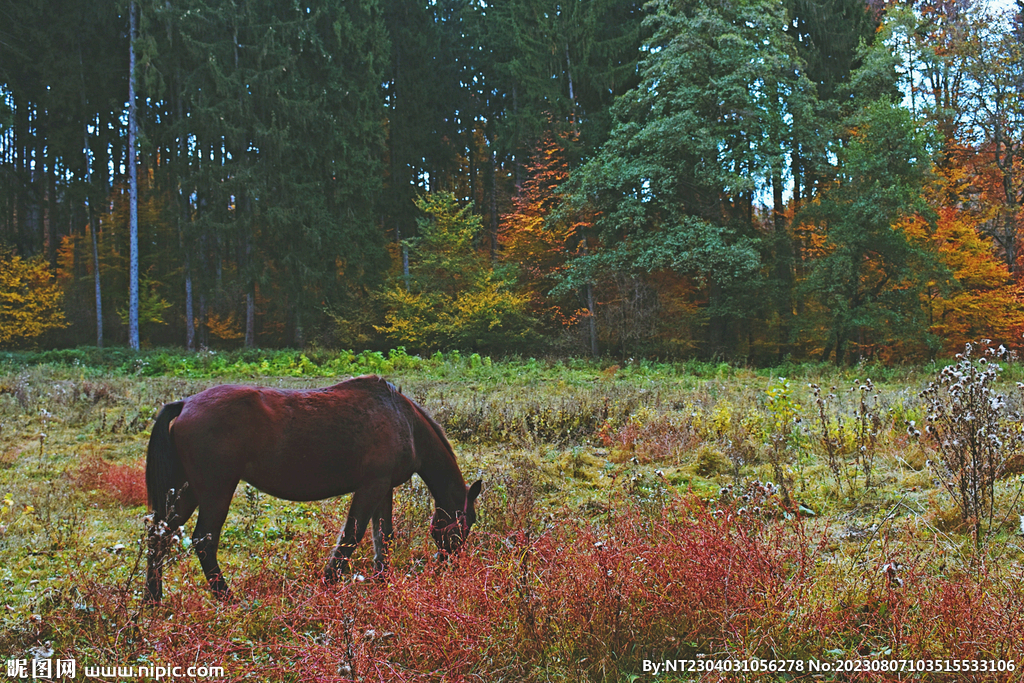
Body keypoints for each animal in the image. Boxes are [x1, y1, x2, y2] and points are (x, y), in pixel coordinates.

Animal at [144, 375, 482, 603]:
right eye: (465, 526)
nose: (448, 566)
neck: (404, 421)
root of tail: (185, 404)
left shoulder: (384, 488)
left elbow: (382, 536)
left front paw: (382, 582)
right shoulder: (372, 485)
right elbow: (352, 536)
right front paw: (328, 583)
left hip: (187, 490)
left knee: (160, 534)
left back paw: (153, 598)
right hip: (216, 489)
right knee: (203, 540)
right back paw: (228, 597)